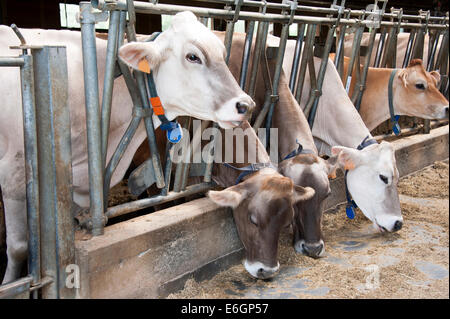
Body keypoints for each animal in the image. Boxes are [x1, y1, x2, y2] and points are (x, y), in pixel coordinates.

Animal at [0, 11, 256, 284]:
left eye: (221, 53)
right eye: (193, 56)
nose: (246, 105)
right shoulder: (14, 178)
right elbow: (18, 248)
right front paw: (9, 283)